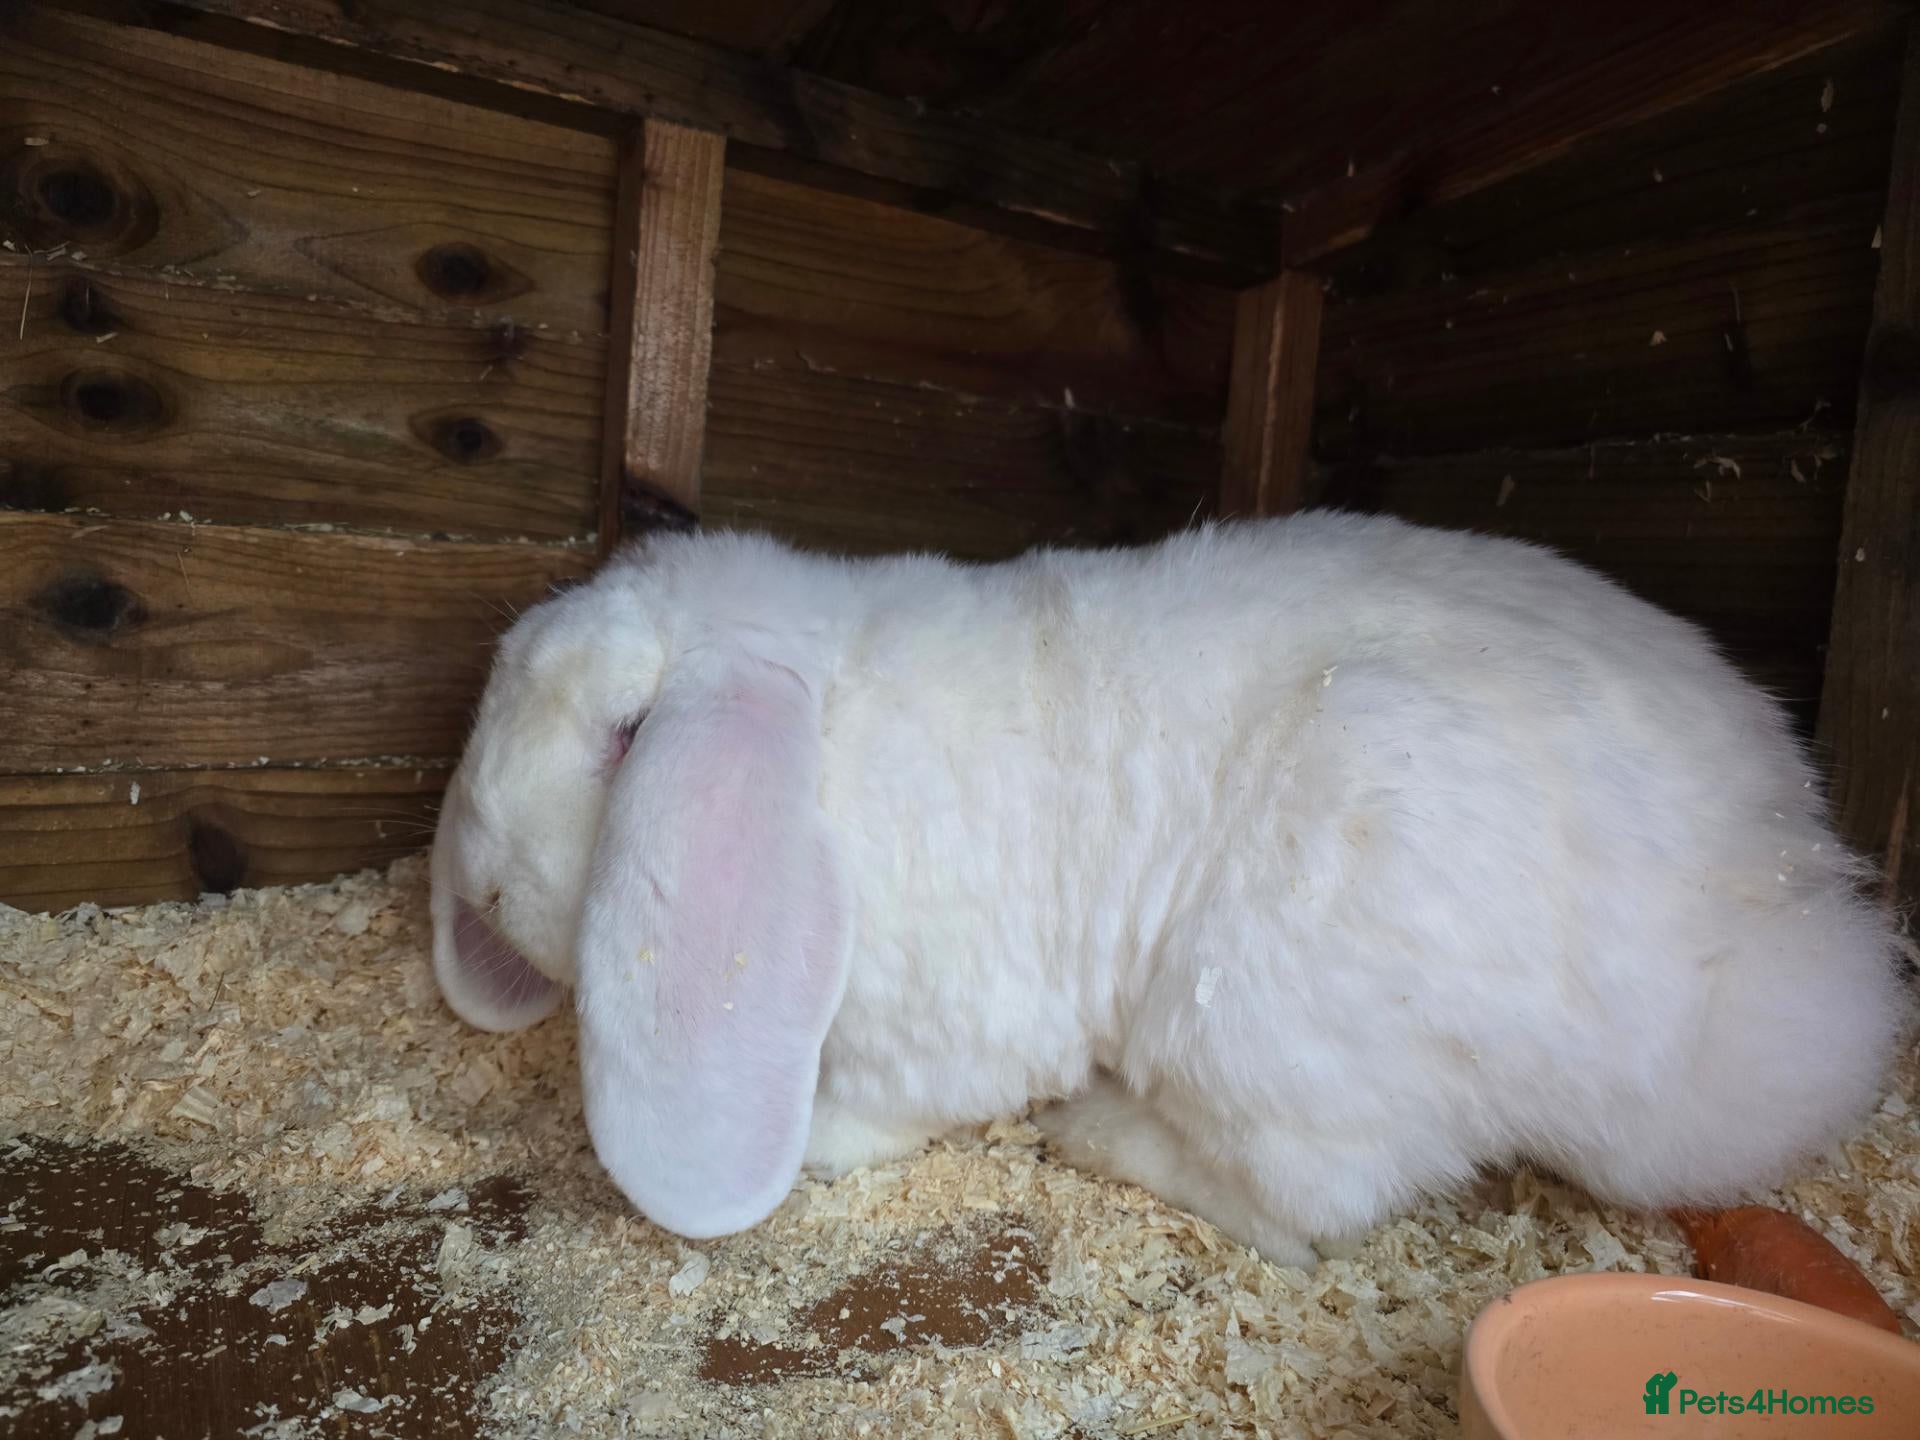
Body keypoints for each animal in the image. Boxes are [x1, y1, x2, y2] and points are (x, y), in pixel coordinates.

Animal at [429, 512, 1909, 1264]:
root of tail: (1786, 920)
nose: (485, 888)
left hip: (1279, 997)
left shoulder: (946, 1027)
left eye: (624, 738)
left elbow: (882, 1112)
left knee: (1306, 1200)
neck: (829, 740)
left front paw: (832, 1147)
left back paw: (1097, 1130)